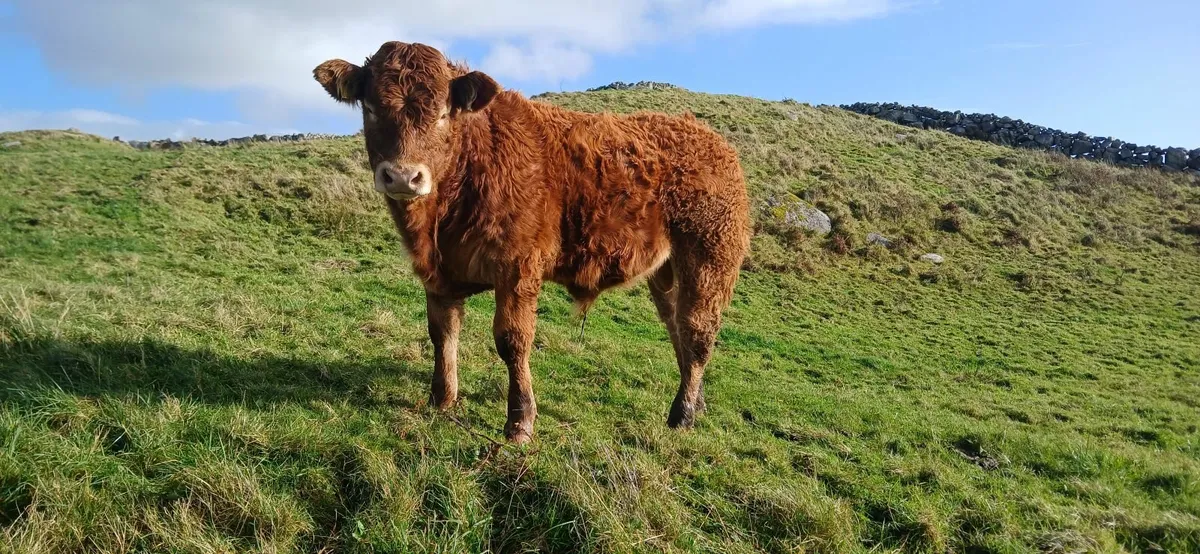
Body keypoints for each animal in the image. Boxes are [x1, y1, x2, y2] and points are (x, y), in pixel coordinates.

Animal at [313, 42, 750, 443]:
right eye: (370, 108)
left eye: (442, 114)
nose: (403, 176)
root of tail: (709, 137)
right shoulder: (438, 276)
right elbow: (442, 334)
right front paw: (441, 400)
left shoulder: (518, 267)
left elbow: (512, 340)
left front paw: (520, 421)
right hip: (667, 272)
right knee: (678, 327)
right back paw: (697, 402)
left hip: (708, 258)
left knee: (697, 331)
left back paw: (683, 414)